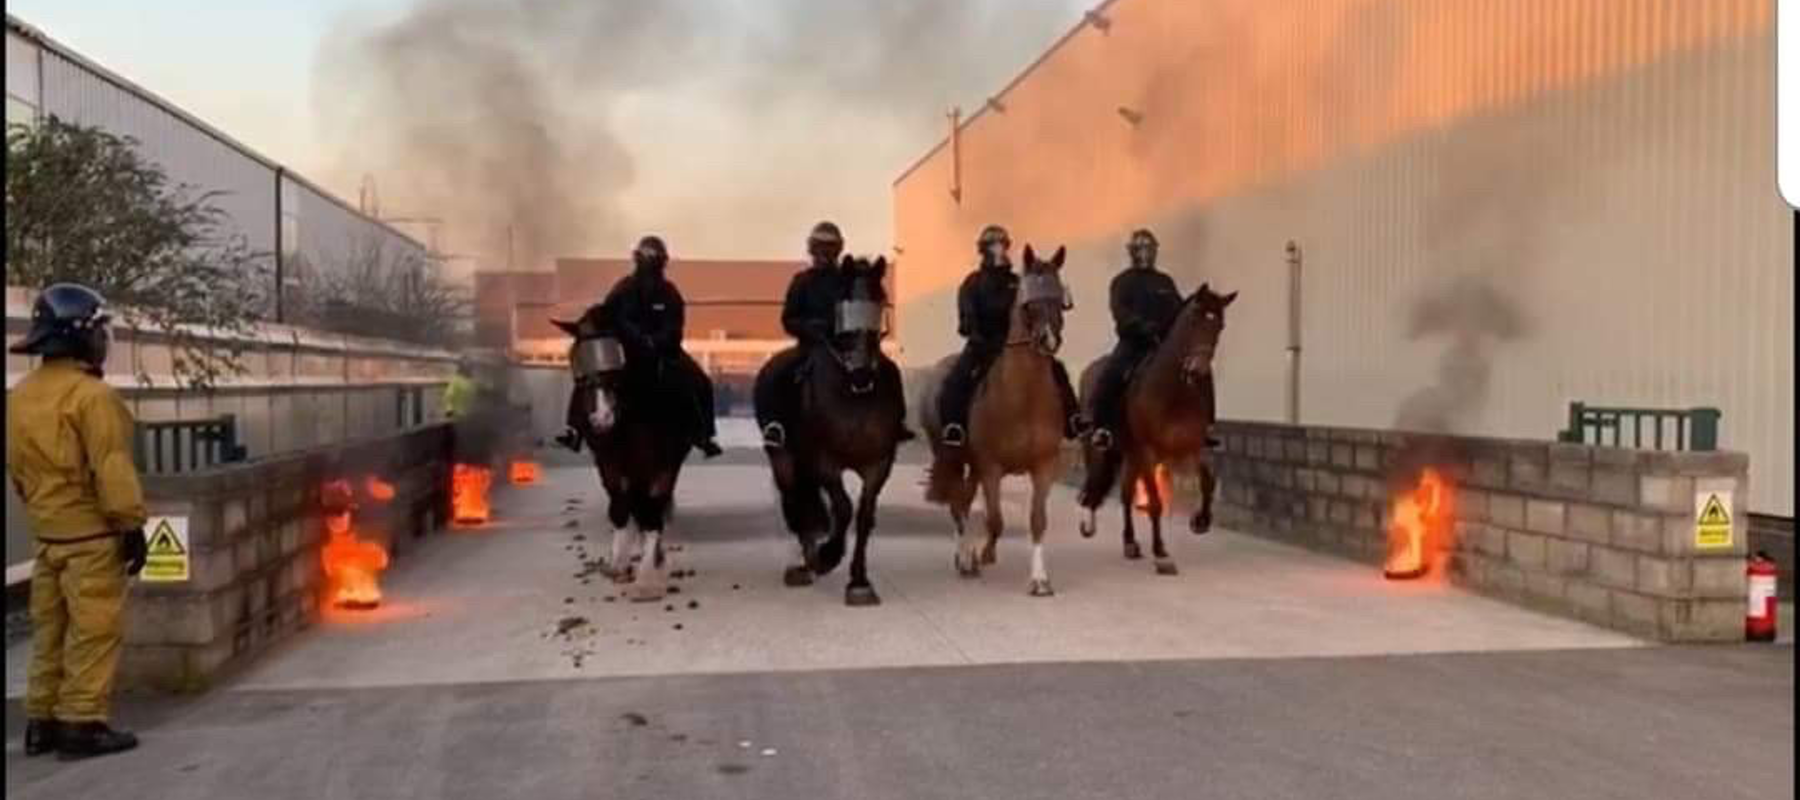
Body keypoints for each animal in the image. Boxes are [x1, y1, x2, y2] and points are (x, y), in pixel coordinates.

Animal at [550, 304, 691, 598]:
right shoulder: (608, 460)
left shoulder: (664, 462)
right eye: (577, 359)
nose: (601, 419)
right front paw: (618, 564)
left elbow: (652, 508)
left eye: (616, 352)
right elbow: (619, 504)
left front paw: (648, 577)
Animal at [752, 255, 907, 605]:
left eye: (878, 299)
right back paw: (807, 564)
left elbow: (863, 515)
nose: (862, 372)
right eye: (843, 304)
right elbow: (844, 508)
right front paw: (828, 555)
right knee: (797, 502)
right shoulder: (825, 461)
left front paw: (859, 581)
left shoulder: (879, 464)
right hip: (783, 459)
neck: (853, 393)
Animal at [921, 246, 1072, 598]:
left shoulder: (1044, 466)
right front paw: (983, 553)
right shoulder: (991, 466)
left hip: (973, 466)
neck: (1024, 398)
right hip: (954, 458)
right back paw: (966, 559)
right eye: (1028, 303)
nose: (1049, 340)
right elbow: (996, 519)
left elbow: (1036, 520)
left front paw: (1040, 580)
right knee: (958, 504)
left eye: (1060, 301)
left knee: (964, 500)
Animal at [1065, 284, 1238, 572]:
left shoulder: (1192, 446)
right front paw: (1161, 553)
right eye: (1194, 321)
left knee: (1125, 493)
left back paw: (1130, 544)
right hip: (1102, 448)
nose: (1198, 370)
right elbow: (1155, 502)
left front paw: (1201, 520)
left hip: (1131, 455)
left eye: (1220, 325)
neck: (1174, 392)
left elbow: (1208, 480)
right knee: (1098, 482)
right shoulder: (1148, 450)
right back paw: (1094, 524)